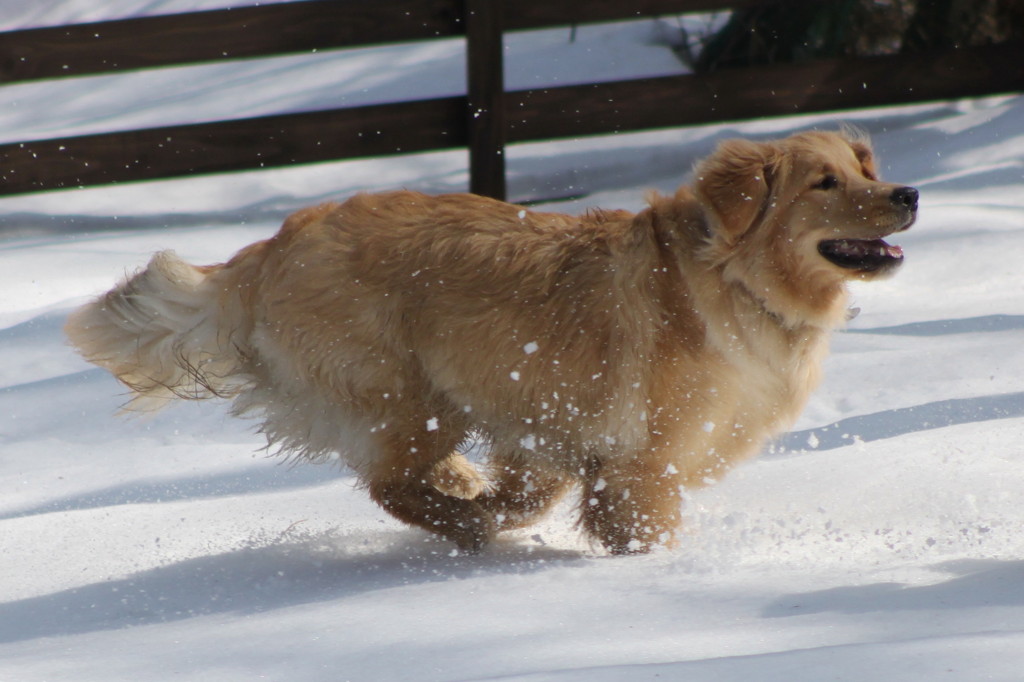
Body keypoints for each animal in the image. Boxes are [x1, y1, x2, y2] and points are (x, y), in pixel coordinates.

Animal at [68, 129, 917, 552]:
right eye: (825, 184)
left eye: (863, 166)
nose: (908, 192)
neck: (734, 278)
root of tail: (273, 247)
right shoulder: (646, 460)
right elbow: (641, 522)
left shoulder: (551, 425)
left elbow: (539, 487)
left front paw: (506, 507)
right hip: (405, 392)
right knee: (387, 483)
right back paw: (466, 520)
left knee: (417, 478)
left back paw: (467, 496)